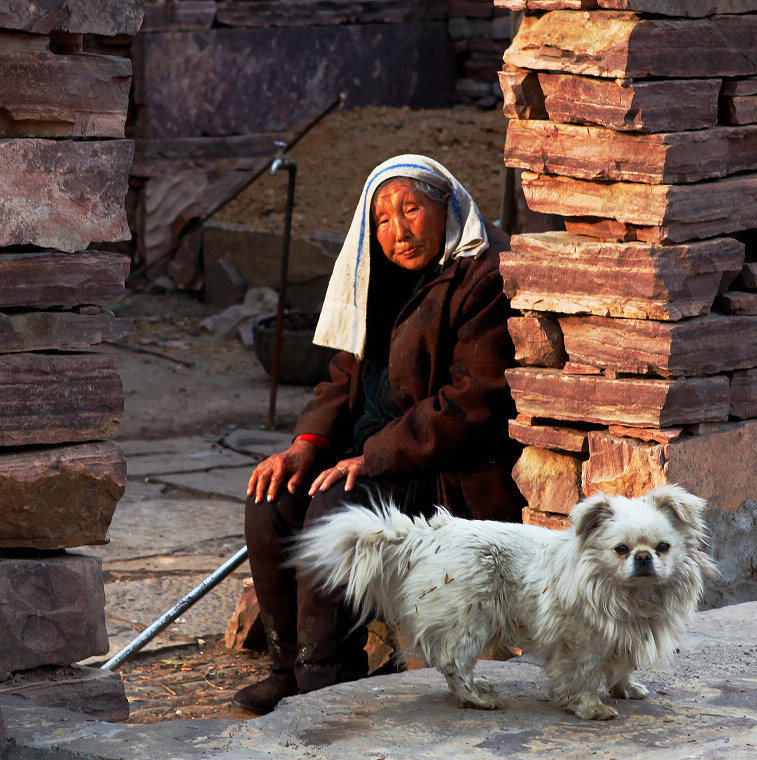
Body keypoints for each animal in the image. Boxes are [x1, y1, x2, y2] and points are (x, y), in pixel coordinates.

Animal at [294, 486, 716, 720]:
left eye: (663, 547)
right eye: (622, 550)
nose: (643, 557)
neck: (628, 594)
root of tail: (426, 538)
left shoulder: (622, 634)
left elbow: (622, 665)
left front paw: (624, 688)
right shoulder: (581, 642)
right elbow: (583, 675)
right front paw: (590, 708)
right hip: (470, 621)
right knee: (453, 664)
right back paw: (476, 699)